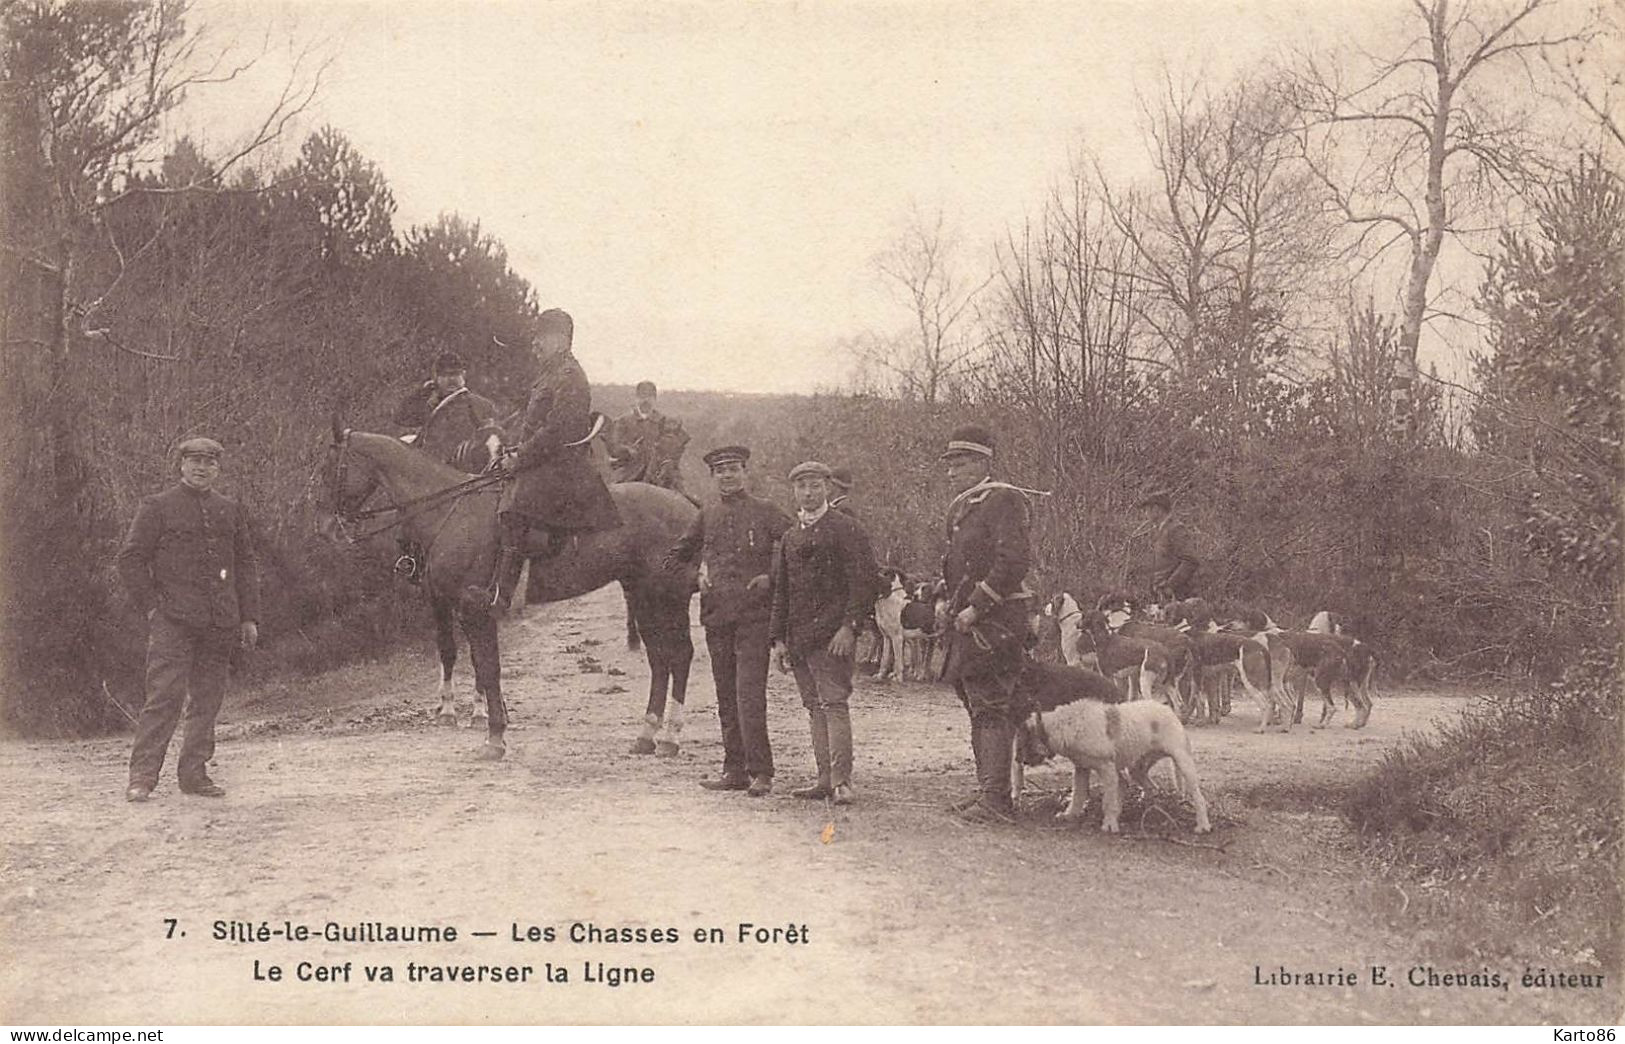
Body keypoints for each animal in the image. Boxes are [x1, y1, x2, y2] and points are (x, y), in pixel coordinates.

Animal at [315, 419, 698, 754]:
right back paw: (646, 736)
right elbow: (481, 664)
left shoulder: (473, 607)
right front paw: (490, 727)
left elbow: (487, 667)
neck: (451, 511)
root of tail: (688, 508)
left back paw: (670, 738)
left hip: (669, 596)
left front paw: (494, 736)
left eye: (328, 468)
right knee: (660, 659)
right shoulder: (460, 607)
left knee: (679, 655)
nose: (326, 529)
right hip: (645, 596)